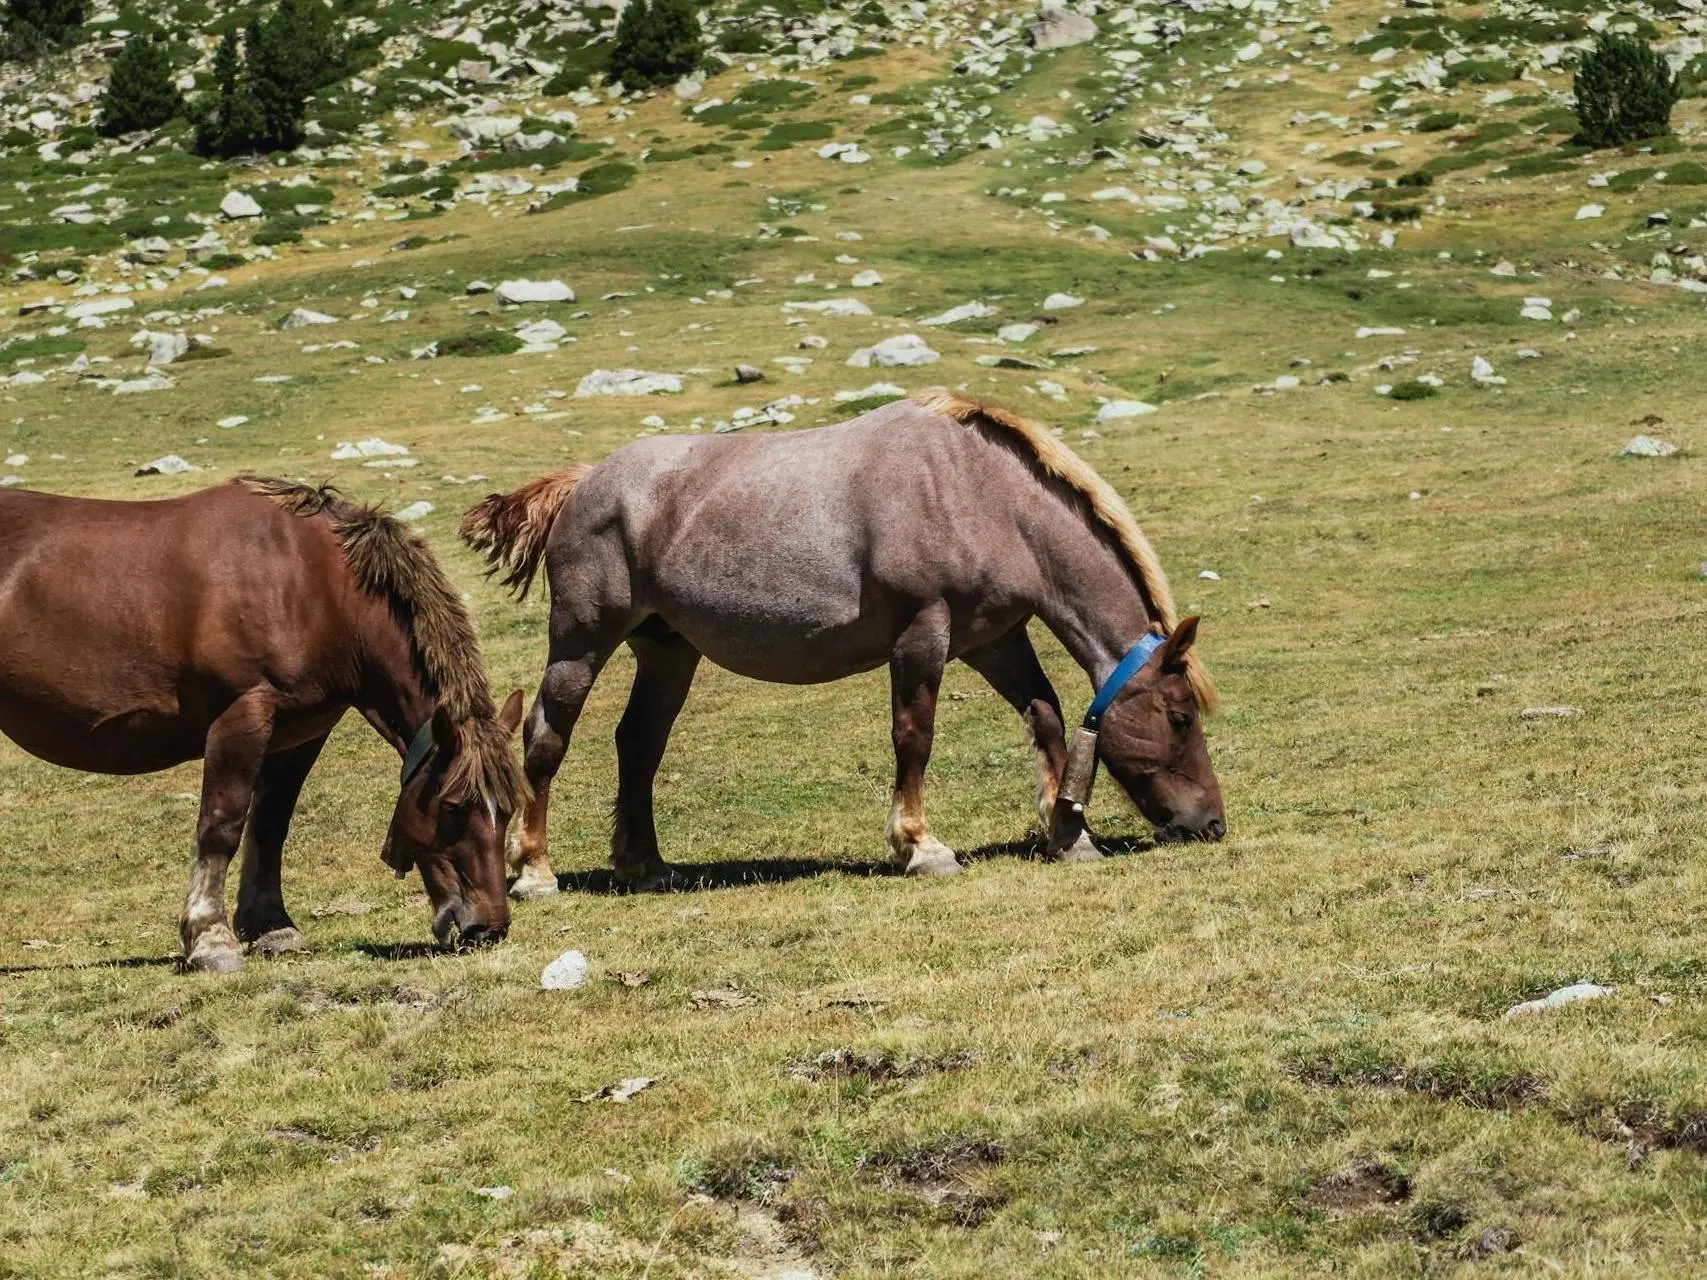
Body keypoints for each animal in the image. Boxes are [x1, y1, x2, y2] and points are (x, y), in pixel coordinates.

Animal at [0, 477, 529, 969]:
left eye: (507, 811)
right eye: (454, 807)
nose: (489, 927)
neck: (313, 584)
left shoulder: (300, 732)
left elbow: (270, 825)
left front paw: (272, 928)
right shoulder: (244, 715)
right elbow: (222, 826)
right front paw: (210, 939)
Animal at [460, 390, 1222, 901]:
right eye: (1180, 717)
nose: (1210, 824)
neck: (980, 494)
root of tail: (583, 483)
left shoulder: (992, 638)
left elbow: (1046, 716)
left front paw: (1068, 834)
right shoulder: (923, 634)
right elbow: (914, 736)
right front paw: (919, 846)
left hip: (667, 650)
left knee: (639, 744)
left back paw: (646, 865)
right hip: (582, 640)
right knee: (546, 740)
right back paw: (534, 870)